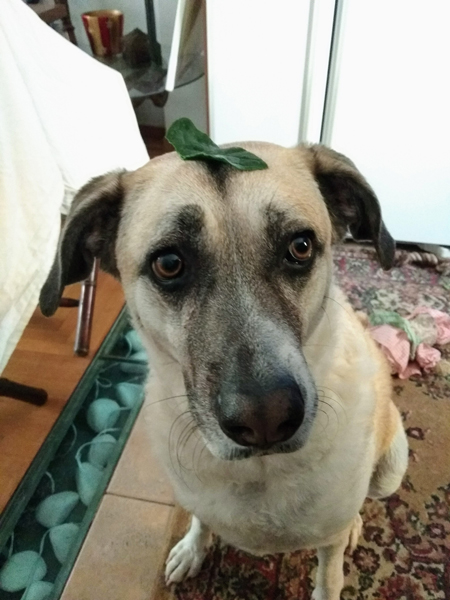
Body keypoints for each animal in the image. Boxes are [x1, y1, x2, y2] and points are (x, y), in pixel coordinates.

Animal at [40, 142, 410, 600]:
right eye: (168, 263)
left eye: (300, 246)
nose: (266, 419)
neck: (257, 472)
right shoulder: (195, 496)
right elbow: (200, 519)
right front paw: (192, 548)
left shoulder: (329, 545)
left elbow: (329, 576)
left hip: (391, 468)